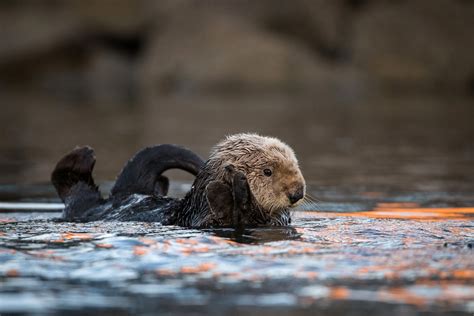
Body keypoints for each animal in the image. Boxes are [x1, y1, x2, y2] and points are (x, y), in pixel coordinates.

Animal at [51, 133, 304, 227]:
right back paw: (83, 155)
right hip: (86, 207)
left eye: (296, 165)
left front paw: (235, 186)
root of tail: (125, 192)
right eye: (268, 171)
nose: (297, 192)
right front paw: (231, 182)